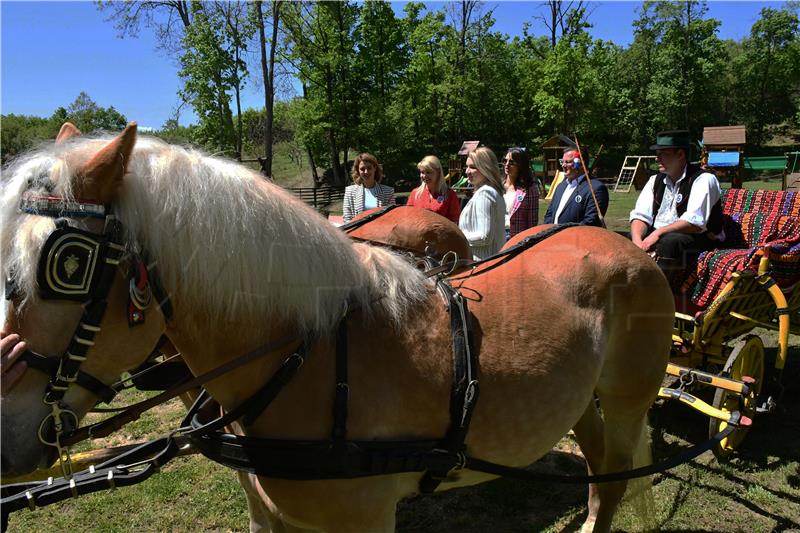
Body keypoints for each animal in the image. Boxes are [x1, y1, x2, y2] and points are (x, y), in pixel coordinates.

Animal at [1, 122, 676, 528]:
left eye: (67, 266)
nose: (5, 439)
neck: (304, 358)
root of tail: (613, 238)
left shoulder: (364, 518)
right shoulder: (268, 514)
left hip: (627, 398)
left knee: (617, 475)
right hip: (580, 398)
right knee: (598, 466)